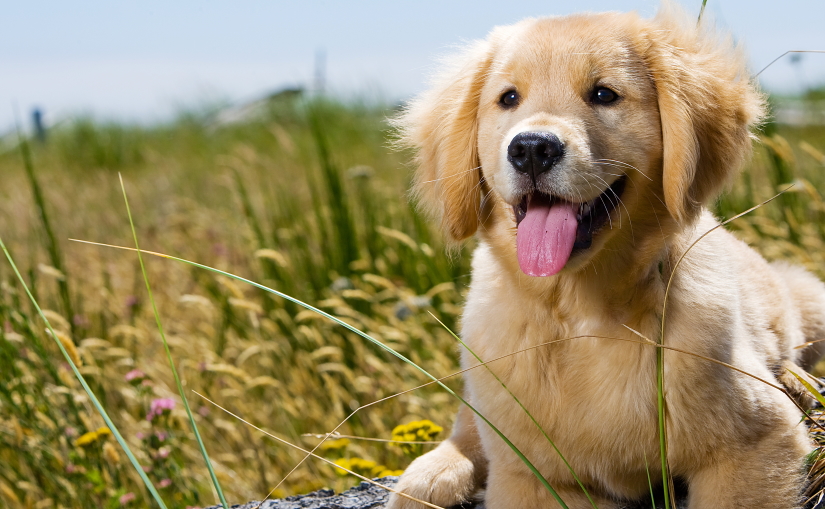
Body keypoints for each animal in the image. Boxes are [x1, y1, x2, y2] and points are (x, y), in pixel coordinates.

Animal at [386, 3, 824, 508]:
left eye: (603, 94)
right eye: (508, 98)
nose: (531, 148)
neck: (583, 313)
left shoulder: (755, 444)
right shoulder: (533, 480)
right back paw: (433, 474)